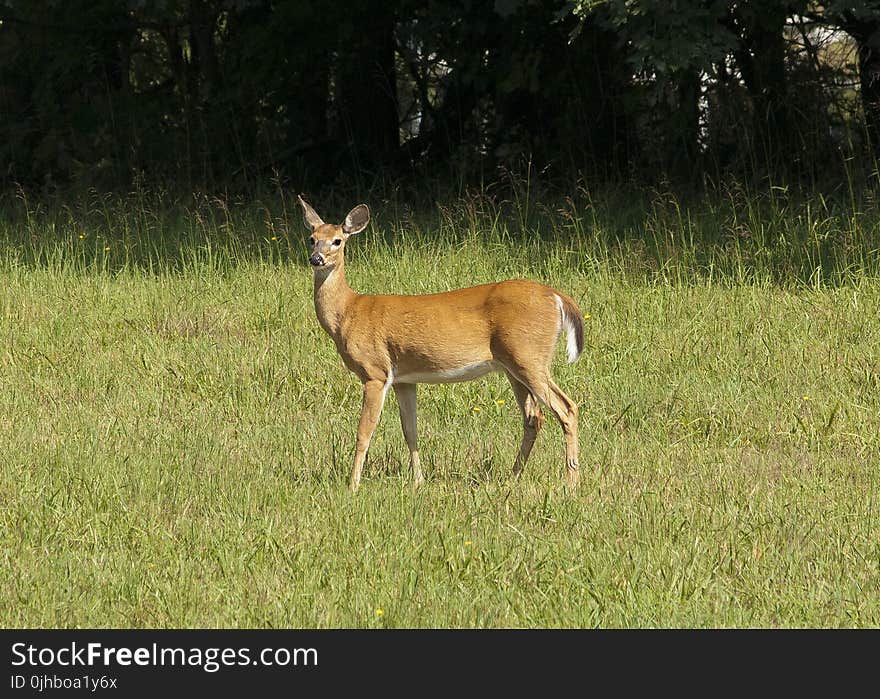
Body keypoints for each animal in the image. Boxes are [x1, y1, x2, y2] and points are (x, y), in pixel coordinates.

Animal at [298, 197, 584, 492]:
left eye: (337, 241)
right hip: (513, 366)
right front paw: (418, 481)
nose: (316, 258)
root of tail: (557, 296)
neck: (348, 312)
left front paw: (352, 485)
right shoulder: (404, 379)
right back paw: (513, 475)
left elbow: (364, 432)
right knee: (533, 417)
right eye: (312, 238)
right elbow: (410, 430)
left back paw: (572, 482)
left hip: (529, 356)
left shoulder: (375, 372)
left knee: (567, 408)